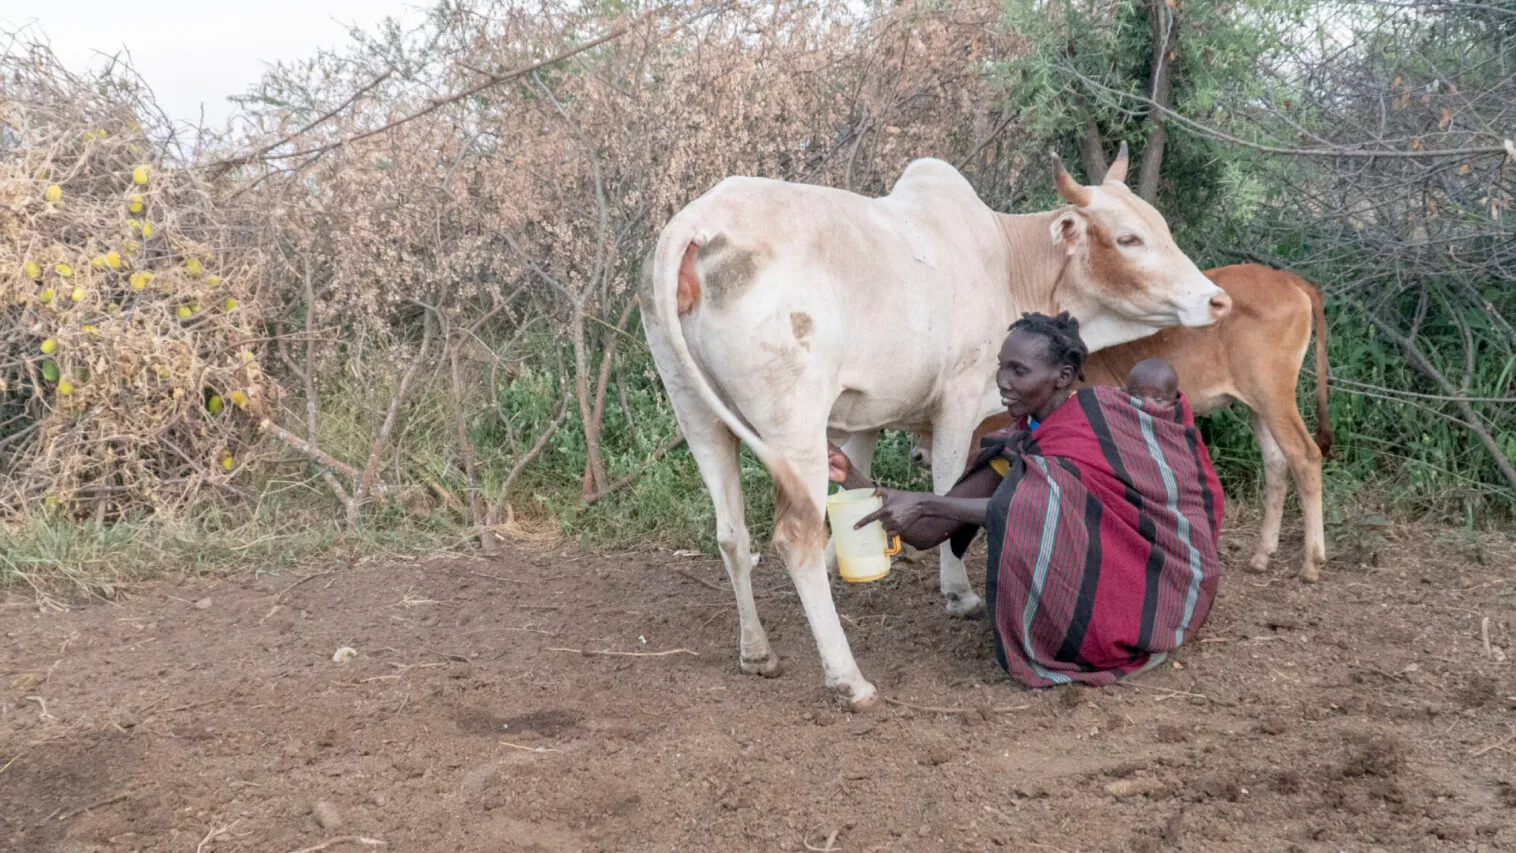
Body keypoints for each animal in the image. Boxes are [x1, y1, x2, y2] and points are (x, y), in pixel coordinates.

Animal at [633, 145, 1224, 709]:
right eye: (1128, 238)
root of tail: (697, 224)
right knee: (794, 534)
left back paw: (757, 653)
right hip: (792, 421)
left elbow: (857, 481)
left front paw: (844, 561)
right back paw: (848, 680)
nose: (1215, 299)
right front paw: (958, 593)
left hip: (696, 413)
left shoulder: (865, 412)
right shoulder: (959, 397)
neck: (1008, 261)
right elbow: (946, 484)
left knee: (731, 533)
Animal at [909, 263, 1328, 584]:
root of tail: (1288, 279)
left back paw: (1311, 562)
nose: (917, 456)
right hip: (1256, 402)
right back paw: (1262, 554)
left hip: (1272, 393)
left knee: (1305, 456)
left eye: (928, 424)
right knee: (1276, 462)